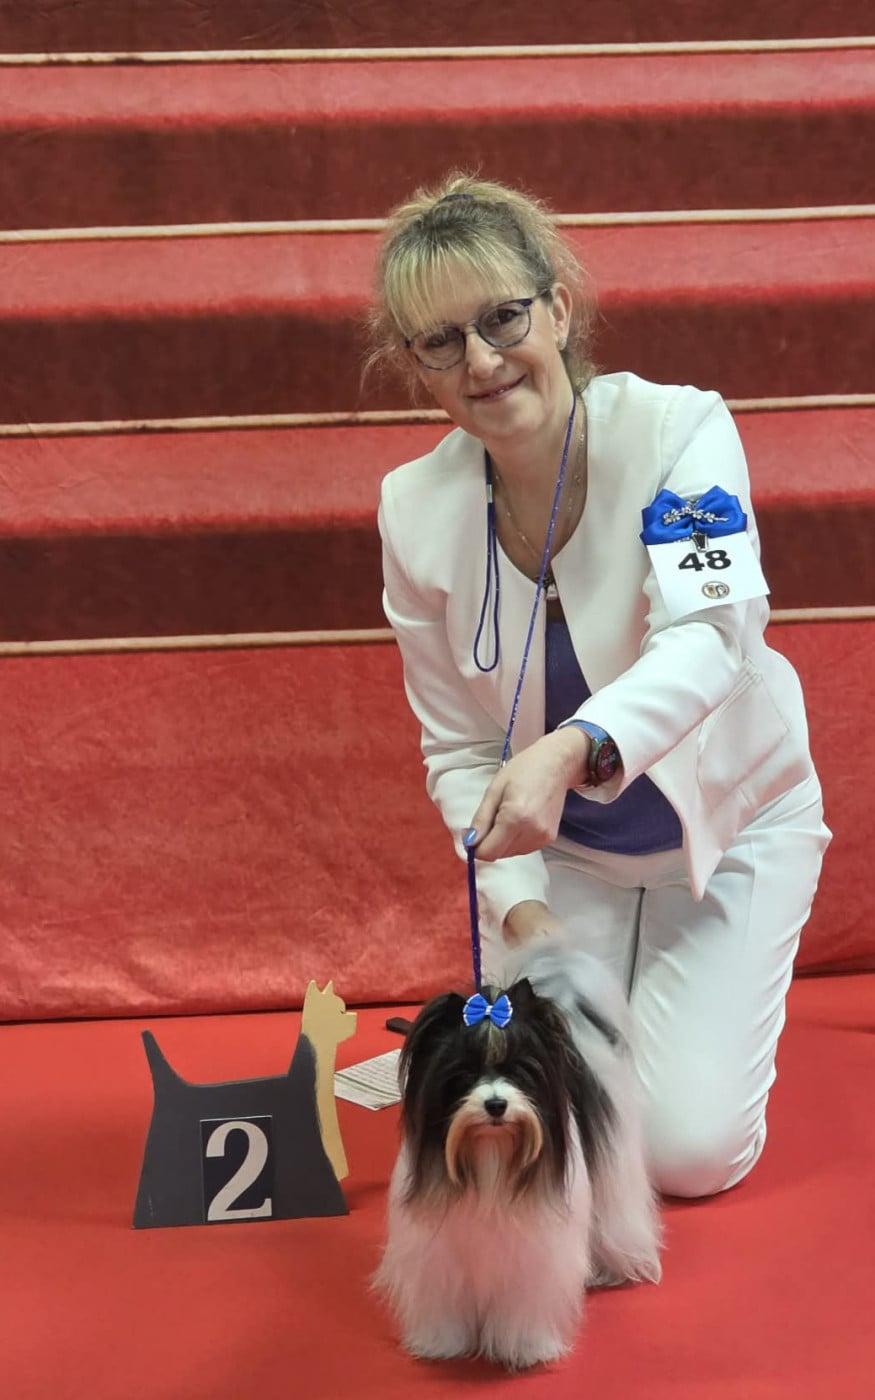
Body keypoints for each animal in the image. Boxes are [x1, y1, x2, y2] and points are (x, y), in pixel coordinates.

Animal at [374, 942, 662, 1370]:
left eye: (520, 1071)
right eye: (464, 1074)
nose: (496, 1104)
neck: (491, 1155)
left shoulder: (534, 1257)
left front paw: (525, 1348)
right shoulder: (439, 1256)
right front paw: (444, 1343)